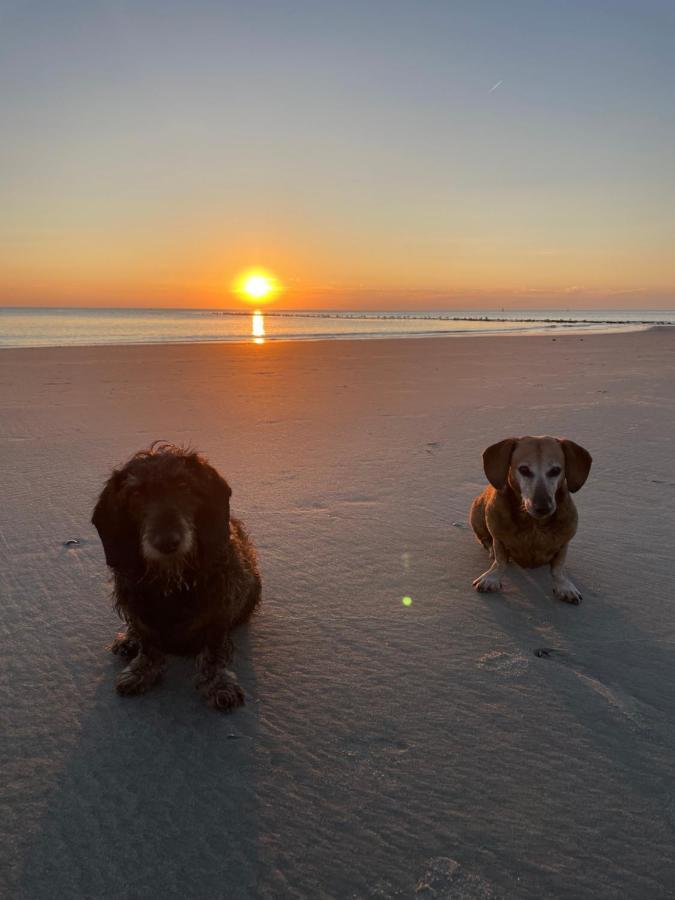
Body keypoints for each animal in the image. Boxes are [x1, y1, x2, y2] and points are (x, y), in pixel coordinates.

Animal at [90, 442, 258, 712]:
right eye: (136, 494)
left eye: (183, 485)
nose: (167, 542)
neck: (173, 579)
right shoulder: (134, 601)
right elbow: (146, 639)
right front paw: (141, 671)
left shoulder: (219, 610)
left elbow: (213, 650)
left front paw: (218, 683)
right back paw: (128, 640)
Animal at [470, 436, 592, 604]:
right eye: (524, 470)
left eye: (555, 471)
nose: (543, 507)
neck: (534, 523)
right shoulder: (498, 539)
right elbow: (500, 561)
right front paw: (492, 577)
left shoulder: (564, 543)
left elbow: (558, 568)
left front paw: (564, 586)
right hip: (477, 512)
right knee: (486, 541)